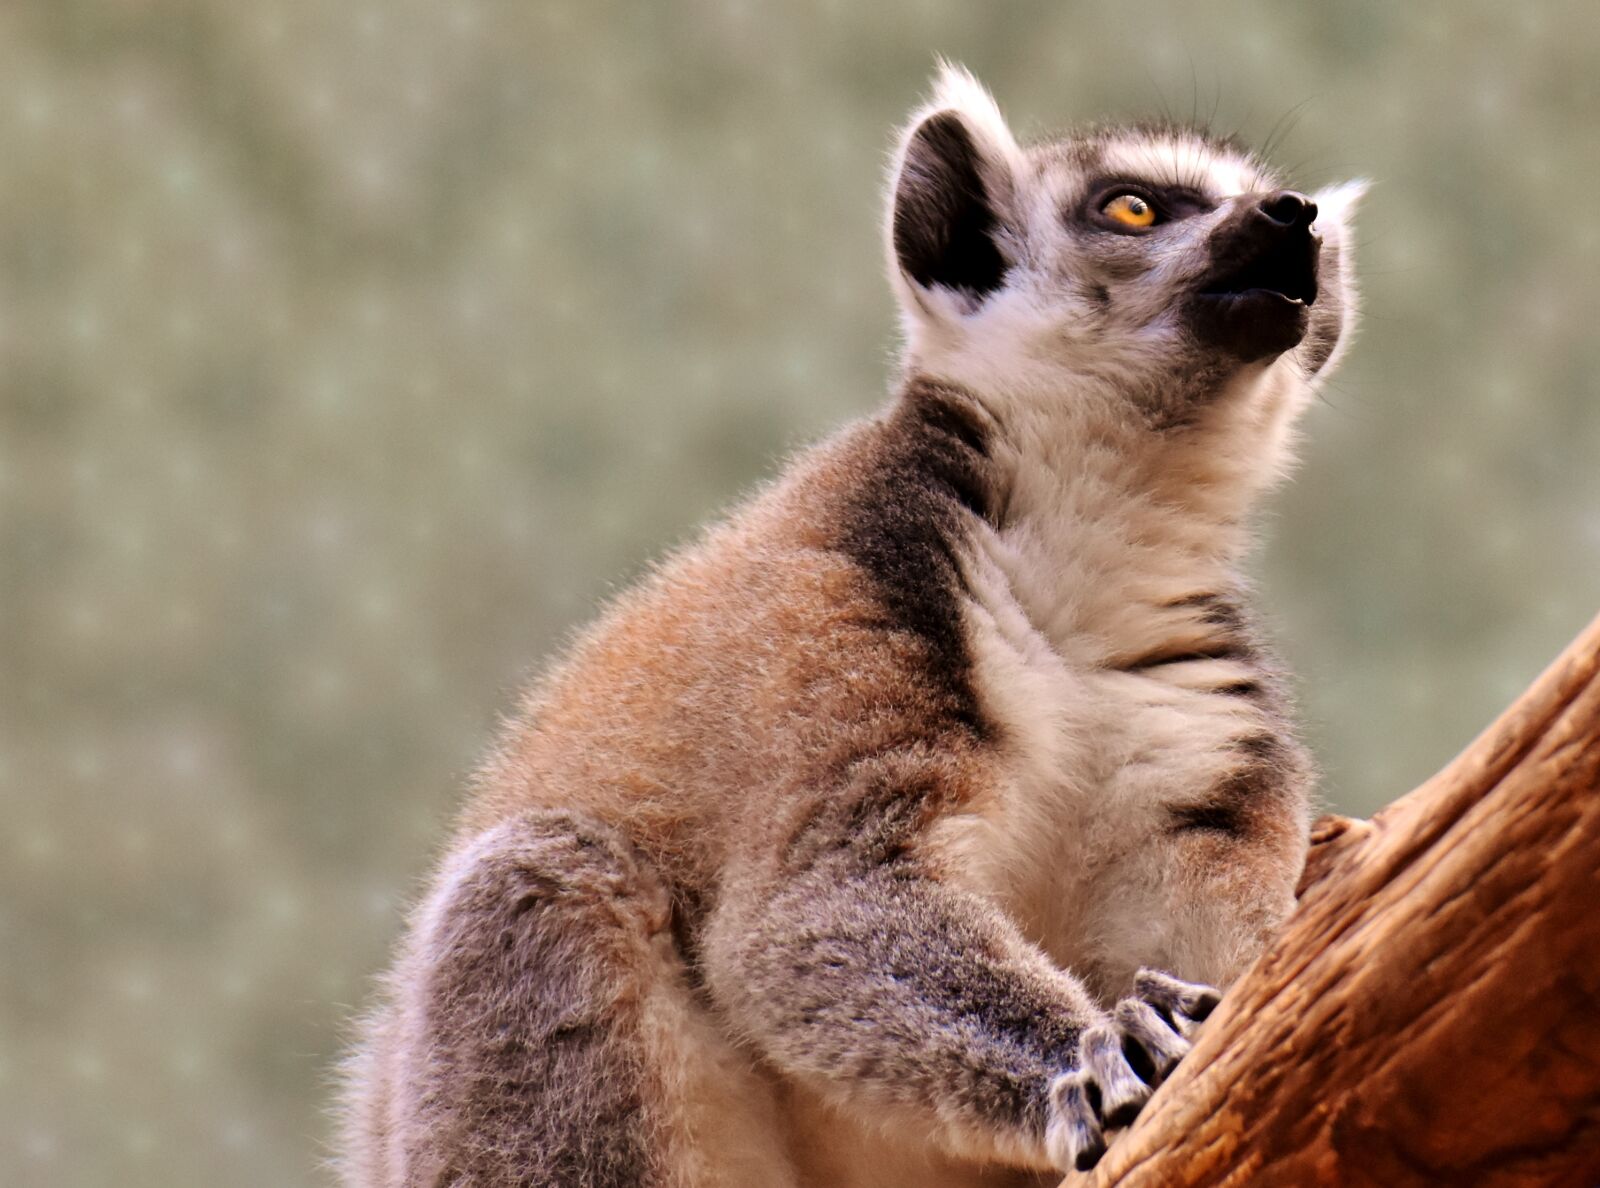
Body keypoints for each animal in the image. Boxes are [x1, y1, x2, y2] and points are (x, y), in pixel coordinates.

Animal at [336, 64, 1364, 1187]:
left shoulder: (1192, 721)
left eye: (1275, 209)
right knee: (536, 881)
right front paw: (1097, 1056)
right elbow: (809, 915)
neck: (1089, 546)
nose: (1291, 218)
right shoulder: (848, 614)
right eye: (1131, 207)